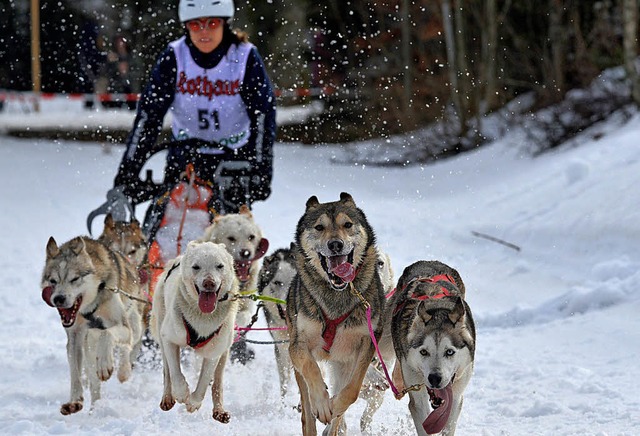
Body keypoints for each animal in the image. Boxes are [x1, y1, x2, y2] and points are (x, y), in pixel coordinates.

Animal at [41, 237, 145, 414]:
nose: (59, 299)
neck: (90, 307)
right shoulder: (75, 337)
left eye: (74, 279)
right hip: (88, 345)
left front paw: (105, 364)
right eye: (53, 281)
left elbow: (107, 334)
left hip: (134, 327)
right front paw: (75, 400)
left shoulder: (122, 327)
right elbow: (75, 371)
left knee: (127, 346)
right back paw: (95, 408)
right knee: (93, 379)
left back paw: (123, 370)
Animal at [151, 238, 240, 422]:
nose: (209, 283)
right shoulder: (169, 339)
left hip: (225, 351)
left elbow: (204, 381)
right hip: (162, 333)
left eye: (219, 266)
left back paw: (219, 410)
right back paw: (168, 397)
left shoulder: (213, 352)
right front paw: (181, 393)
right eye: (196, 267)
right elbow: (175, 373)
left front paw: (193, 402)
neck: (202, 317)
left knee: (217, 382)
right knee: (166, 371)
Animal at [288, 192, 388, 434]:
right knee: (307, 413)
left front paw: (334, 406)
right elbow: (311, 368)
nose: (335, 244)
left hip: (343, 364)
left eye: (347, 224)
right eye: (319, 227)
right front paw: (323, 404)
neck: (337, 293)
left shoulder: (366, 343)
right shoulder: (297, 345)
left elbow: (351, 392)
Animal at [390, 260, 476, 434]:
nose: (435, 378)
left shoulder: (456, 395)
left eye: (449, 352)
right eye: (424, 352)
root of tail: (428, 261)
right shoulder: (417, 395)